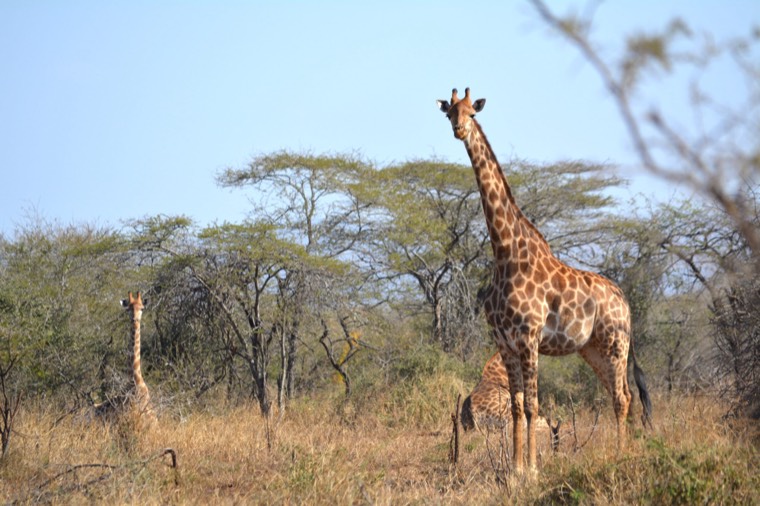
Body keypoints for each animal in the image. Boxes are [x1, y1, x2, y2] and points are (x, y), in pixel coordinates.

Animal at [437, 87, 651, 473]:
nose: (459, 130)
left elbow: (533, 405)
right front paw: (515, 470)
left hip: (616, 343)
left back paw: (620, 457)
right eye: (449, 113)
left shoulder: (529, 337)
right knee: (621, 394)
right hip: (592, 349)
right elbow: (517, 406)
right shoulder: (505, 342)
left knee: (622, 397)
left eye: (472, 113)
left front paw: (533, 471)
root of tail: (624, 299)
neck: (505, 253)